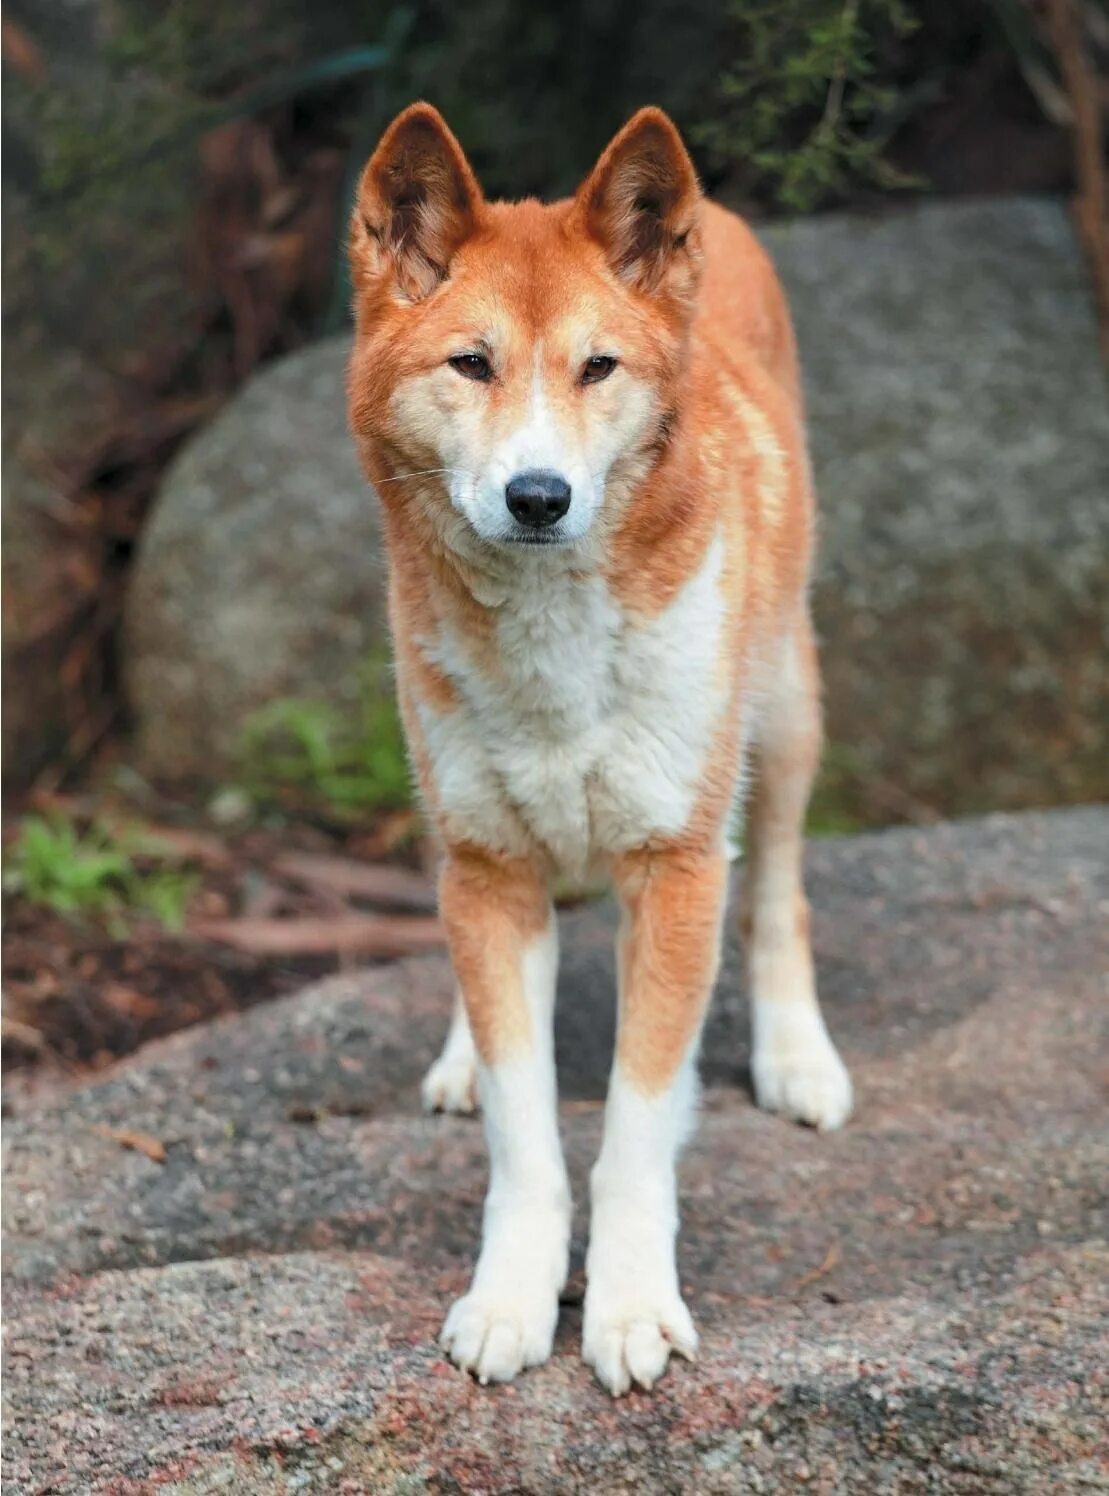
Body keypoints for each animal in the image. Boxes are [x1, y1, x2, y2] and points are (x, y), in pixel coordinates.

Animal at [350, 102, 850, 1388]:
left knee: (779, 888)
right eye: (470, 363)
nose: (538, 495)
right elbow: (522, 1132)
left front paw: (627, 1308)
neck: (553, 653)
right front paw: (510, 1298)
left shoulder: (674, 868)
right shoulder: (485, 865)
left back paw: (795, 1055)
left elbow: (631, 1125)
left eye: (596, 367)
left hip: (784, 711)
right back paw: (456, 1054)